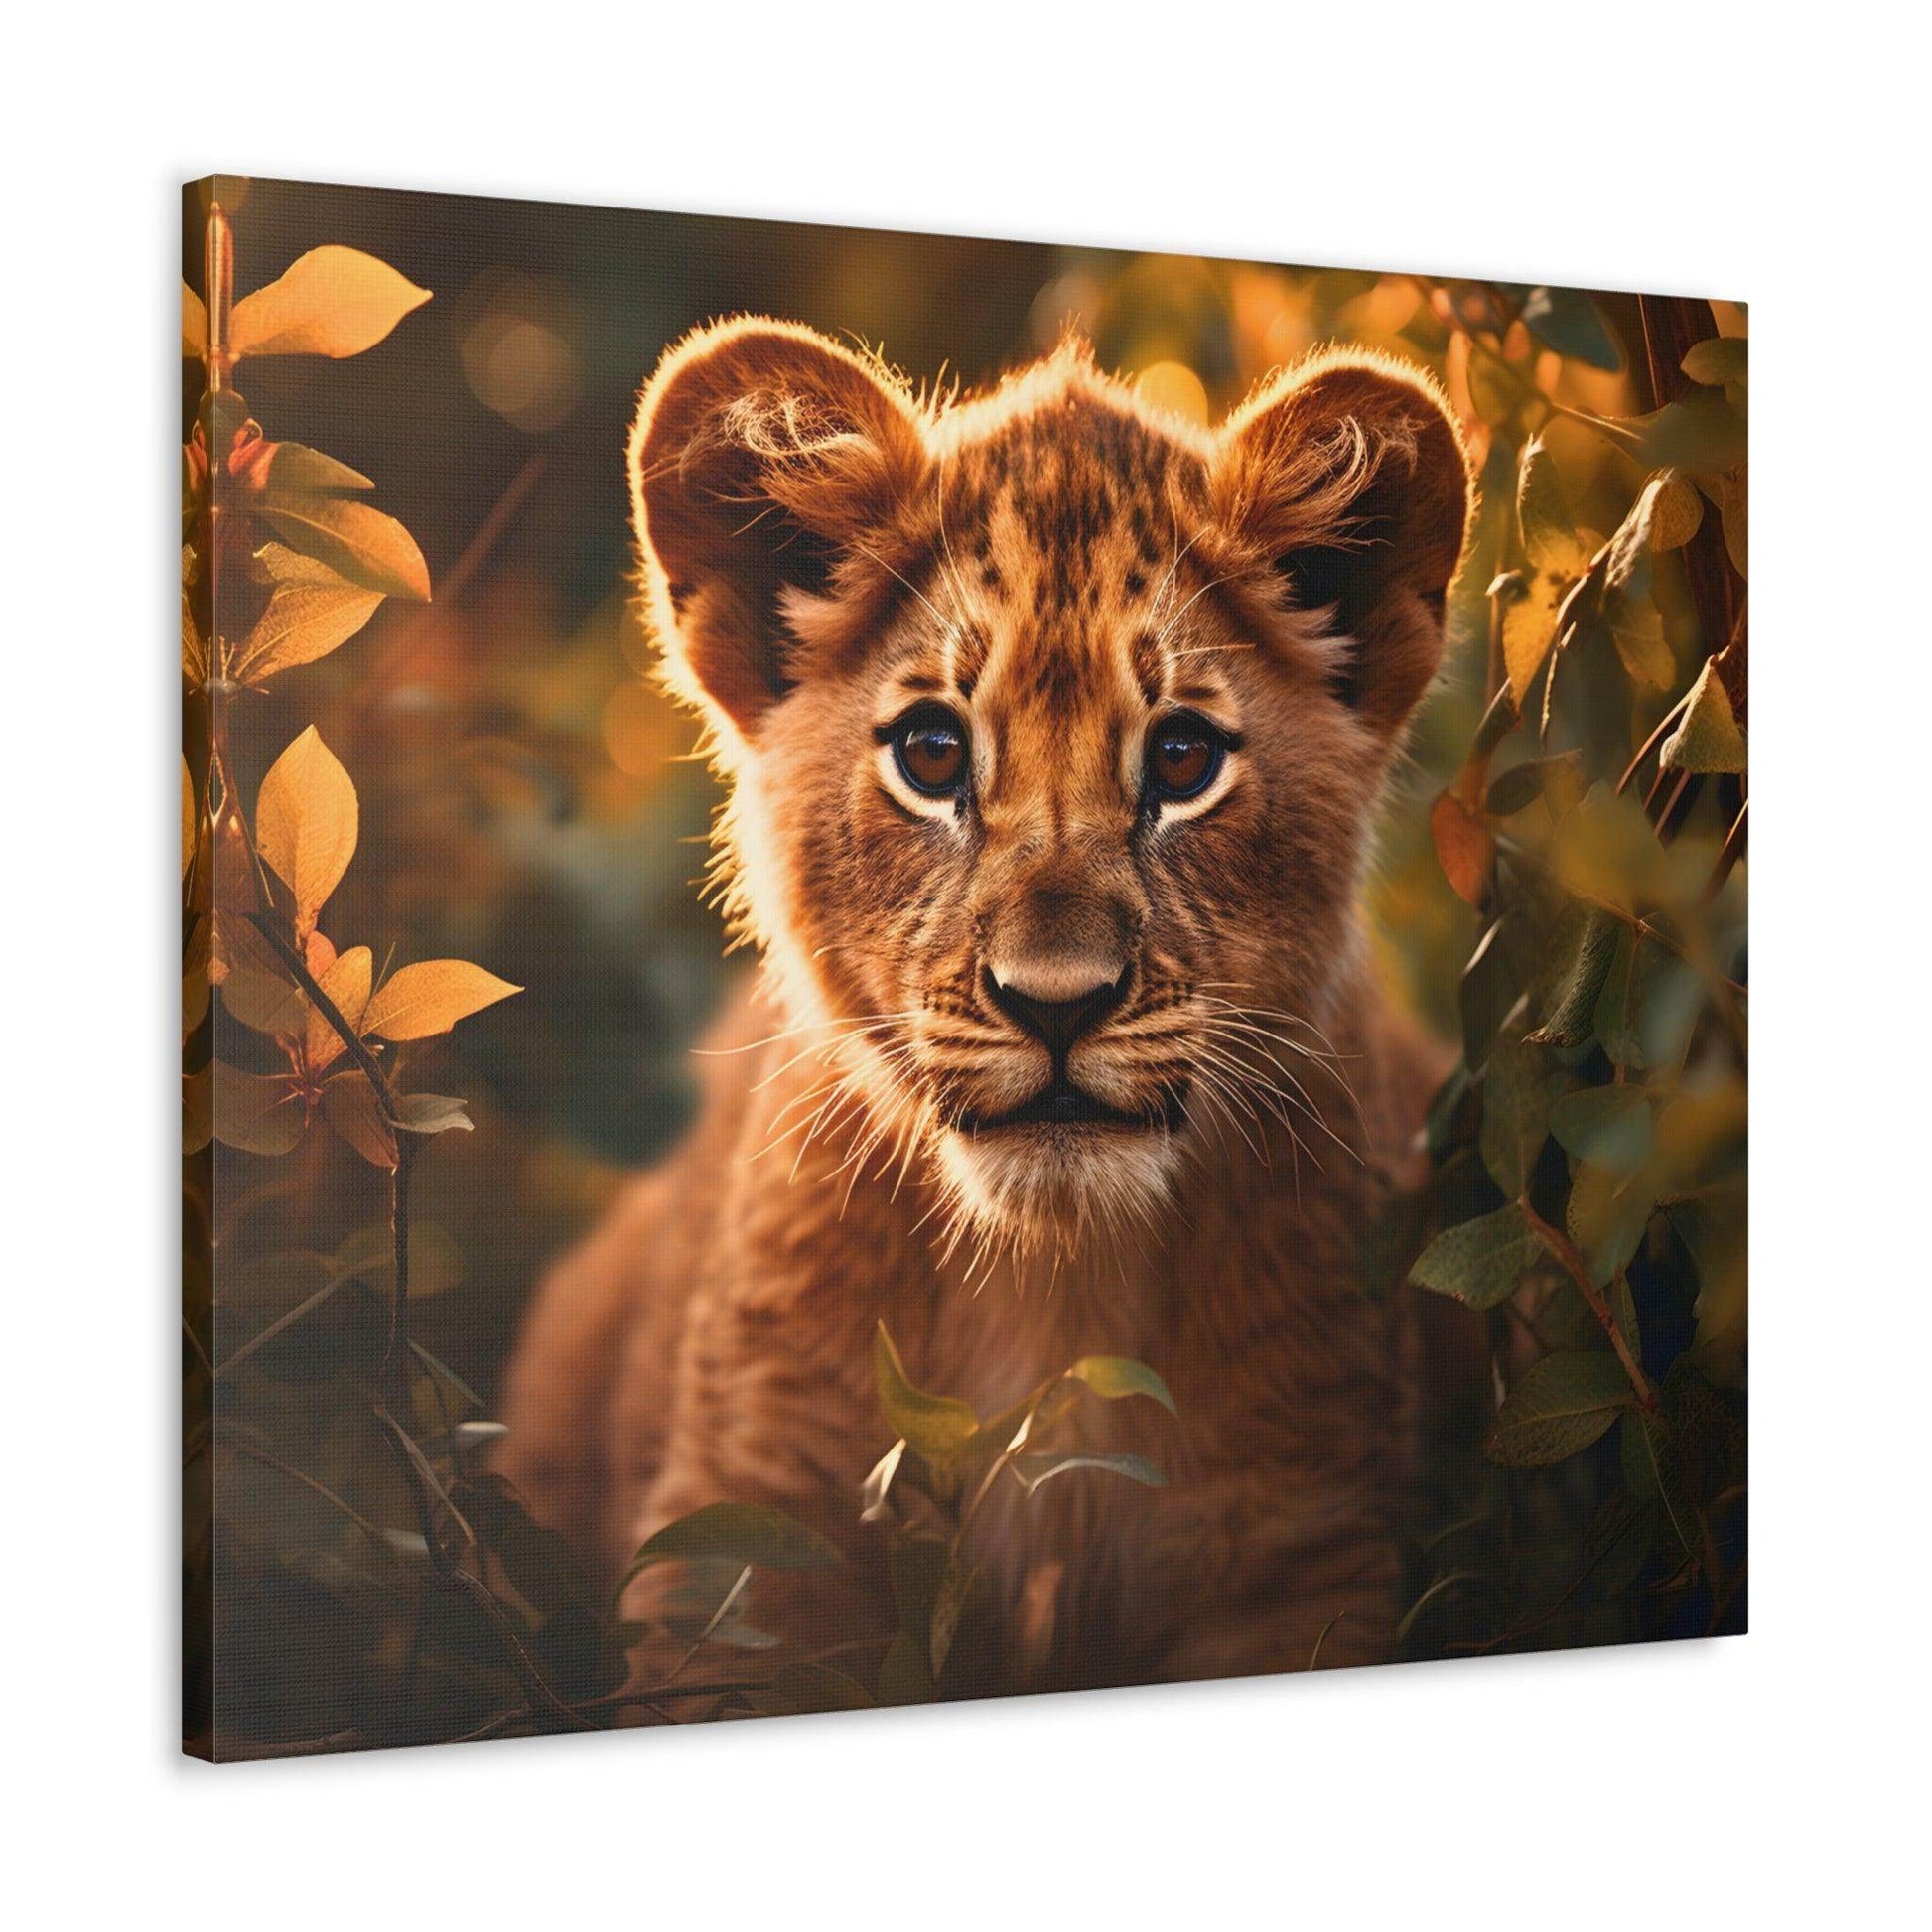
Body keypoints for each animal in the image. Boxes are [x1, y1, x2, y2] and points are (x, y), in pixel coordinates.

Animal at [497, 315, 1482, 1694]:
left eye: (1181, 758)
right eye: (931, 753)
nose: (1054, 1004)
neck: (1051, 1283)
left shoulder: (1300, 1551)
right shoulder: (744, 1545)